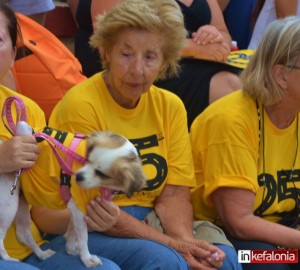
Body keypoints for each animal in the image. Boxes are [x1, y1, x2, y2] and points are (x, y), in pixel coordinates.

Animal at [0, 122, 146, 268]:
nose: (77, 177)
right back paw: (7, 258)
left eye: (102, 174)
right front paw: (86, 258)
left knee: (23, 234)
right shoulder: (78, 208)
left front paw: (70, 249)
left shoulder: (75, 207)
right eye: (88, 159)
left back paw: (42, 254)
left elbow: (72, 230)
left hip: (21, 203)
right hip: (9, 205)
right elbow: (83, 237)